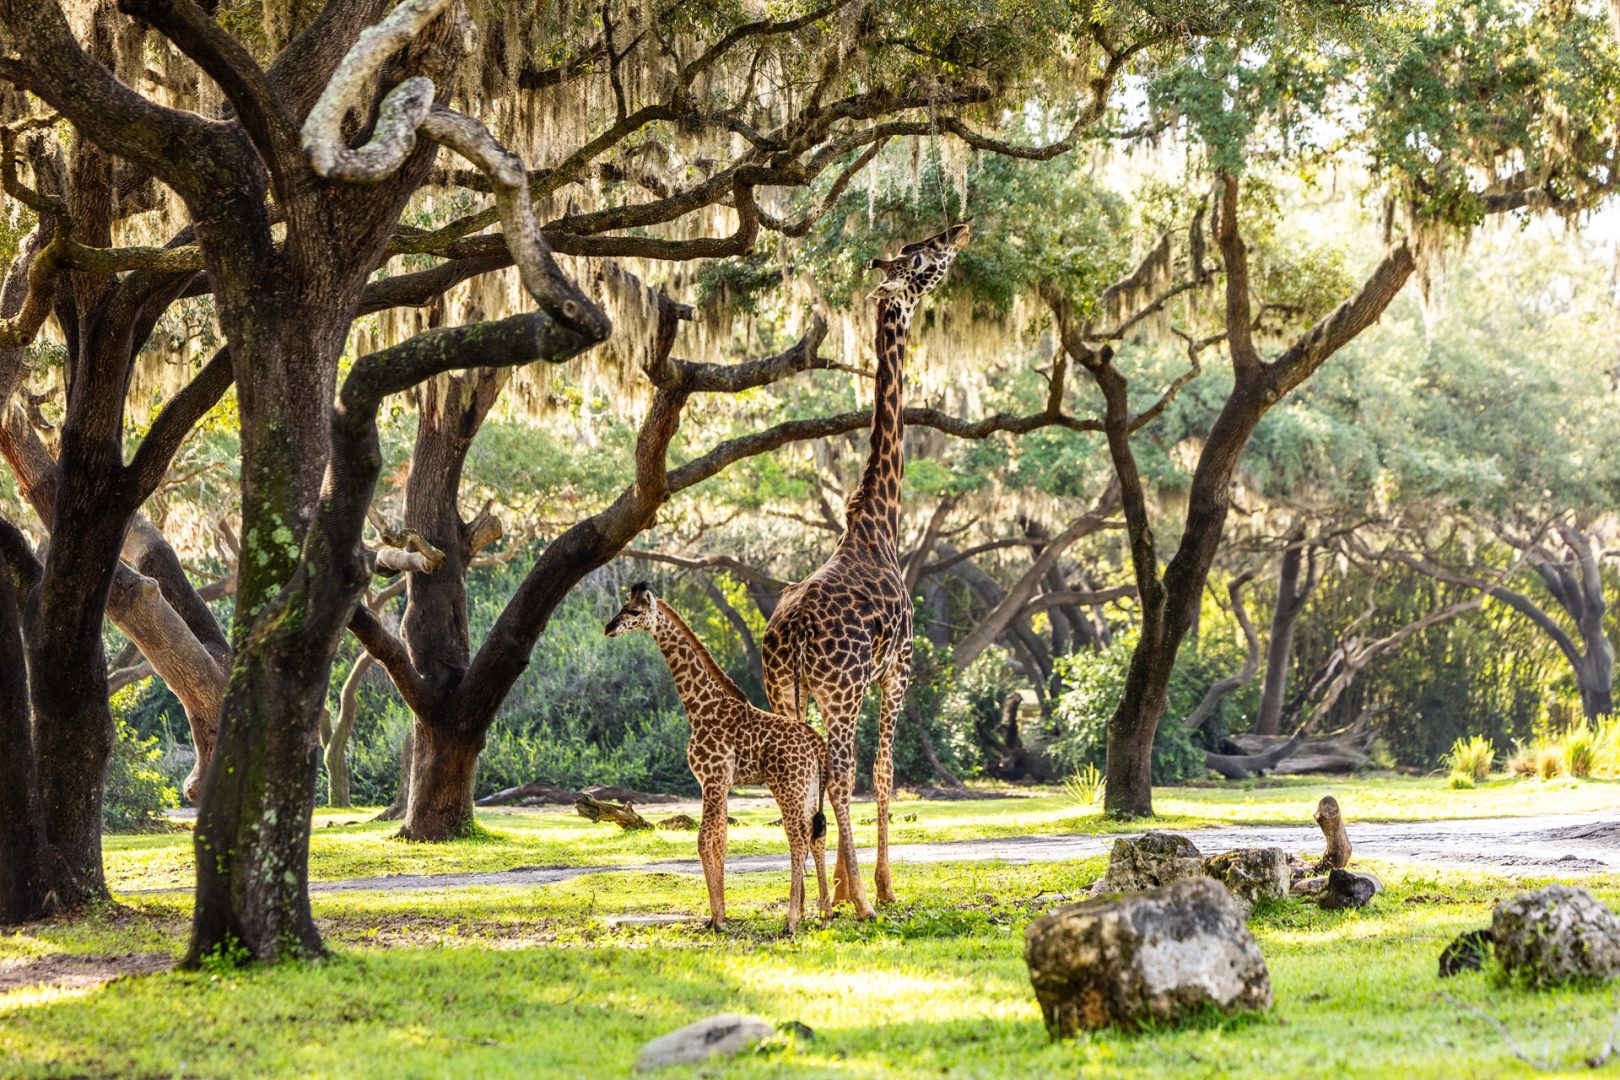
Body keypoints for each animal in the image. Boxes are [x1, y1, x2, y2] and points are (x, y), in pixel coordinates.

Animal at [605, 582, 831, 933]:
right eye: (622, 607)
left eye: (634, 610)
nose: (608, 628)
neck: (699, 707)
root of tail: (817, 743)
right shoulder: (720, 783)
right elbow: (721, 841)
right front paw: (721, 914)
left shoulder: (710, 780)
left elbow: (702, 840)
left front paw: (715, 919)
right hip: (808, 788)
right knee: (817, 836)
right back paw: (824, 914)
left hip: (787, 786)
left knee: (797, 838)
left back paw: (792, 920)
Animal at [759, 222, 970, 917]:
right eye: (922, 256)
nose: (961, 229)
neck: (880, 523)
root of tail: (793, 633)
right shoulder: (898, 668)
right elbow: (883, 772)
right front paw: (879, 887)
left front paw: (843, 890)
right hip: (842, 687)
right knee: (841, 769)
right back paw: (857, 901)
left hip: (784, 690)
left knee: (801, 769)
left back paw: (813, 902)